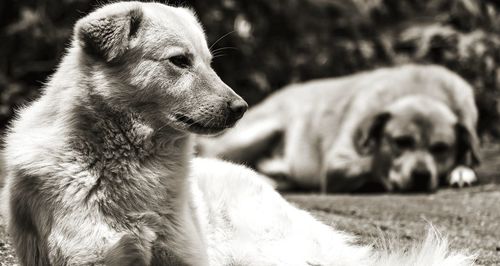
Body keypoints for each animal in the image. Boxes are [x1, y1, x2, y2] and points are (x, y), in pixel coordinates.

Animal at [199, 64, 480, 193]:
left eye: (441, 148)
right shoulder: (336, 165)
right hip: (255, 132)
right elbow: (372, 162)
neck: (420, 89)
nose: (421, 176)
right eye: (401, 142)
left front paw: (461, 170)